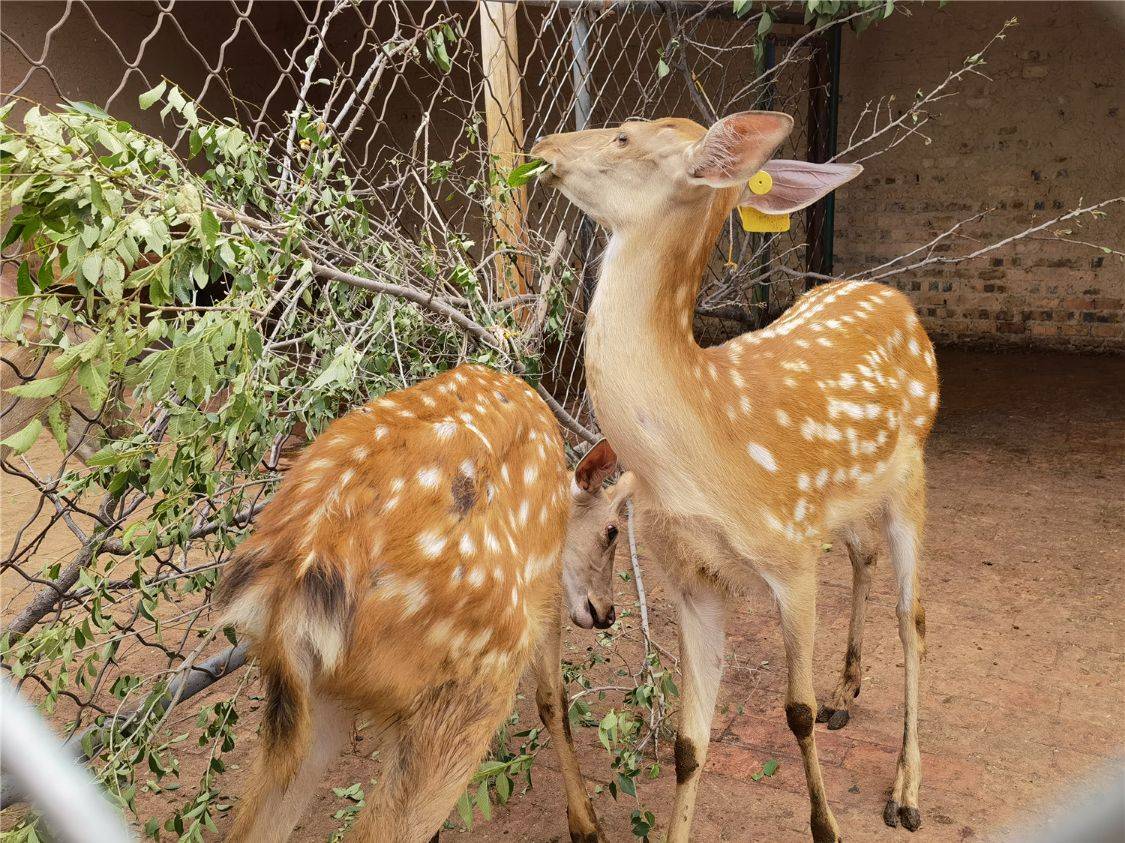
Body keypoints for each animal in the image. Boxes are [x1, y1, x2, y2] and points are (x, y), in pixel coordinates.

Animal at [210, 364, 616, 841]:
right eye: (612, 530)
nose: (606, 613)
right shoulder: (546, 590)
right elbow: (554, 701)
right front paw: (587, 827)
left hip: (311, 700)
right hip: (475, 679)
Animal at [535, 113, 940, 841]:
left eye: (625, 136)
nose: (543, 148)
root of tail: (892, 295)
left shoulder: (790, 557)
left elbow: (794, 712)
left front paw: (828, 827)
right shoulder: (692, 577)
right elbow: (688, 743)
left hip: (910, 471)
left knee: (912, 616)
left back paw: (905, 790)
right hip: (840, 503)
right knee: (863, 554)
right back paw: (846, 690)